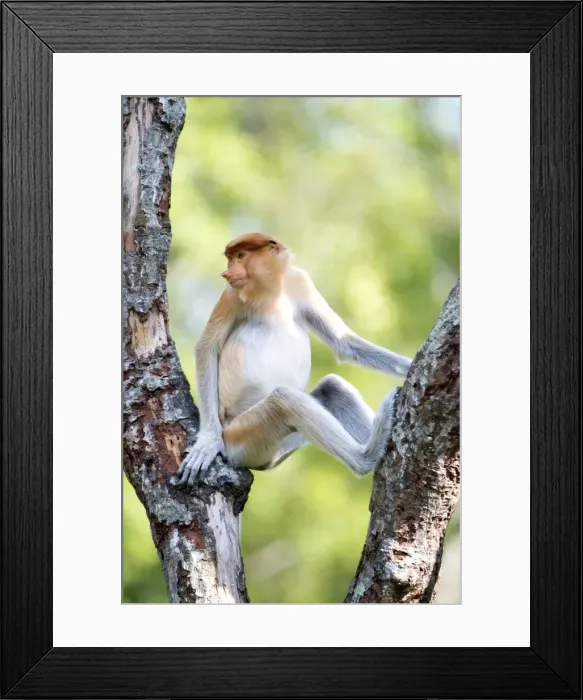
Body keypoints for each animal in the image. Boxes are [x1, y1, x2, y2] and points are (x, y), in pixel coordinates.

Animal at [176, 233, 412, 487]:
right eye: (230, 259)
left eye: (240, 256)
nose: (226, 273)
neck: (272, 290)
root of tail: (264, 464)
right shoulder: (230, 295)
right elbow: (207, 348)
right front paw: (208, 441)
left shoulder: (300, 282)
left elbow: (344, 342)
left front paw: (410, 366)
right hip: (240, 438)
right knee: (284, 400)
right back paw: (366, 457)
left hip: (283, 445)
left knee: (331, 387)